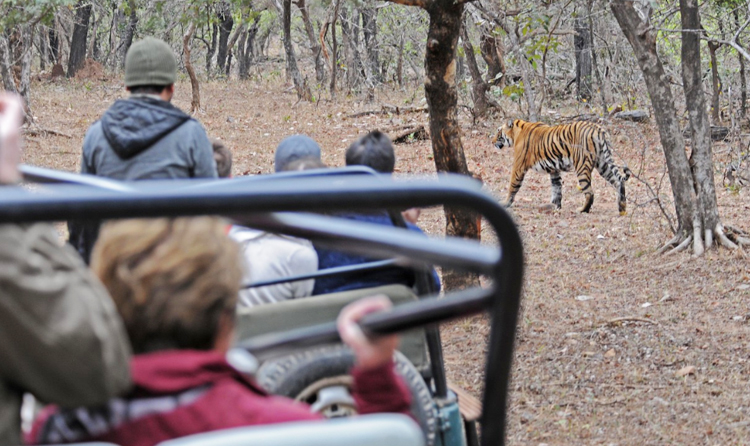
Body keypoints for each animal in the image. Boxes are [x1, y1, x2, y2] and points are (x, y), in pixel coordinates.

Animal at [496, 120, 632, 214]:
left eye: (498, 132)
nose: (492, 141)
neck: (516, 133)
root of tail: (598, 129)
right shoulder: (554, 170)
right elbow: (556, 189)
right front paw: (555, 207)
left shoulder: (518, 167)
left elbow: (512, 186)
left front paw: (505, 203)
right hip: (603, 164)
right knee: (618, 182)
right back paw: (622, 207)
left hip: (582, 166)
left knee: (589, 192)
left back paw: (582, 210)